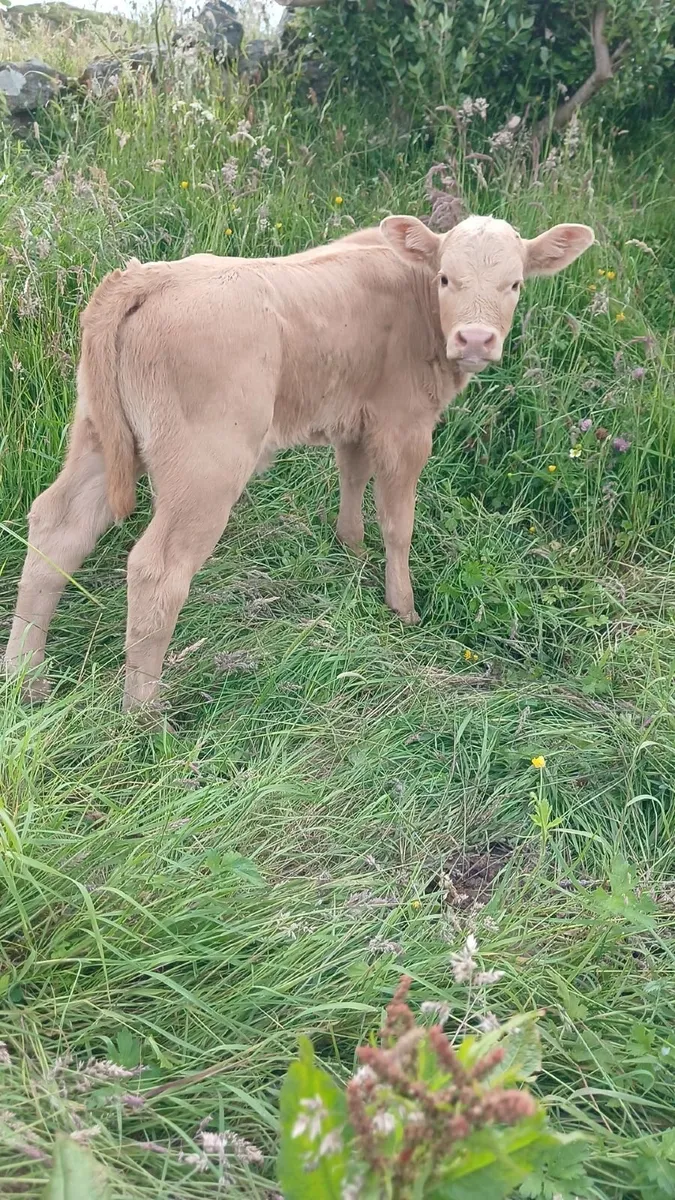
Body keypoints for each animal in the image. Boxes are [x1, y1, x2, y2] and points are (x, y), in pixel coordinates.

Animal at [5, 213, 594, 710]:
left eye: (513, 284)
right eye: (447, 278)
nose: (475, 338)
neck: (413, 296)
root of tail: (149, 276)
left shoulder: (355, 416)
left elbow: (352, 479)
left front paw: (351, 551)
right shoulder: (405, 426)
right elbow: (398, 522)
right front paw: (402, 607)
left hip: (97, 435)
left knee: (58, 527)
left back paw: (25, 678)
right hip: (206, 465)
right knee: (158, 568)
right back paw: (145, 716)